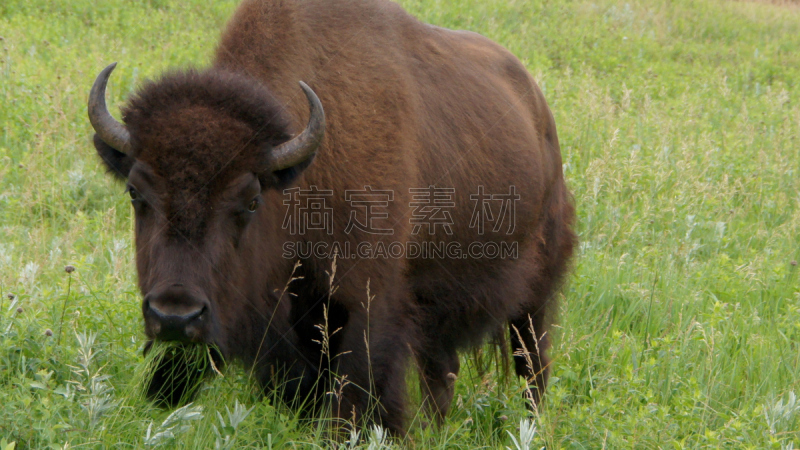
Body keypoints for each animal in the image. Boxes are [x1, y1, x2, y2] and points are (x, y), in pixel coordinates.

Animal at [87, 0, 576, 434]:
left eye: (250, 200)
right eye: (135, 192)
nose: (175, 315)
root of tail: (538, 110)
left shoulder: (368, 310)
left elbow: (353, 405)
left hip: (535, 295)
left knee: (533, 365)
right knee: (445, 374)